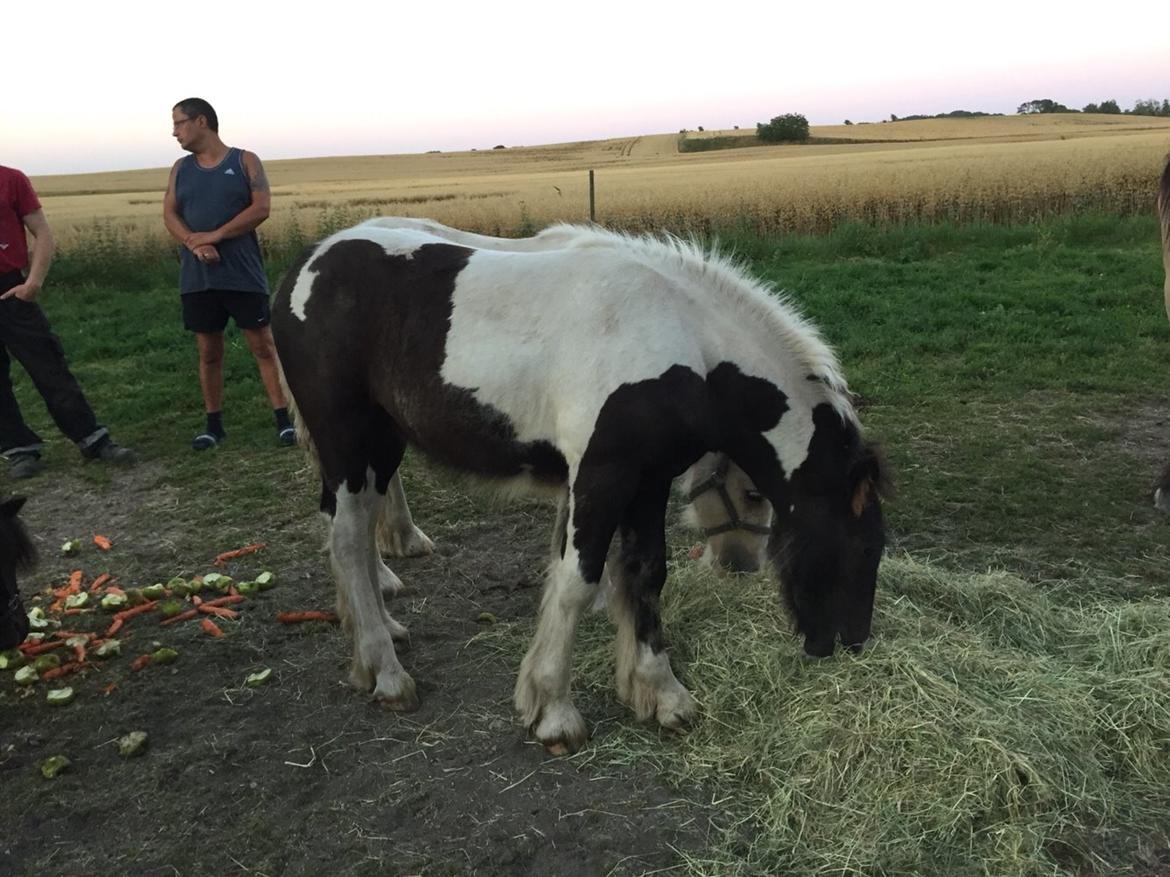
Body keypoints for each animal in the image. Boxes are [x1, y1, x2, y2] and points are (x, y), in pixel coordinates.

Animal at [269, 219, 879, 757]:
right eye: (856, 545)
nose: (849, 641)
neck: (680, 340)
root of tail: (304, 265)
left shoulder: (647, 482)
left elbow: (646, 575)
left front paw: (662, 695)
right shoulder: (600, 477)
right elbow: (576, 581)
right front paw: (555, 712)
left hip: (379, 442)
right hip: (352, 443)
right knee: (348, 541)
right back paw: (387, 674)